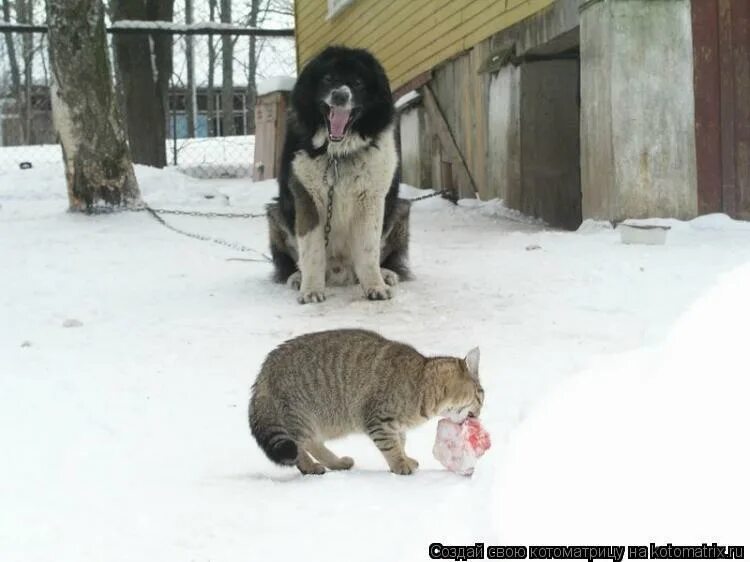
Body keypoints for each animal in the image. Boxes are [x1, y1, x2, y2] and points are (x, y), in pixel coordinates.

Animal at [247, 328, 484, 472]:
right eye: (480, 396)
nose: (479, 416)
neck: (421, 382)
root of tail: (263, 373)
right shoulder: (379, 421)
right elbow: (391, 446)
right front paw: (400, 464)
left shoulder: (395, 426)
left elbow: (401, 442)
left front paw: (405, 458)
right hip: (301, 415)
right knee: (299, 447)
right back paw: (310, 467)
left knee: (312, 443)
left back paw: (337, 463)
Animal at [268, 46, 414, 304]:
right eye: (328, 79)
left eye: (357, 83)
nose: (339, 96)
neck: (338, 154)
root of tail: (339, 272)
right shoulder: (307, 199)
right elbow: (312, 250)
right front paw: (311, 290)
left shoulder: (371, 199)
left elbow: (368, 249)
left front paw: (375, 286)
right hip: (274, 213)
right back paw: (297, 278)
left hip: (401, 209)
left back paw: (386, 274)